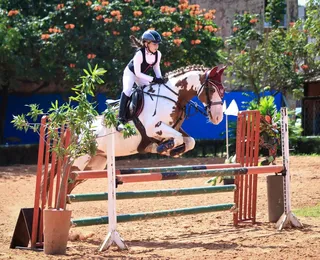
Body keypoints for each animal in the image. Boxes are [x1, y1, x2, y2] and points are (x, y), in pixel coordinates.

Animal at [65, 65, 225, 194]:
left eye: (223, 91)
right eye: (211, 89)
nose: (218, 118)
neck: (172, 97)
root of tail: (78, 128)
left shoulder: (174, 128)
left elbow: (190, 141)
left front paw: (171, 150)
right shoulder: (153, 128)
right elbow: (178, 138)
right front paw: (164, 148)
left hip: (95, 164)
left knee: (72, 182)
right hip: (81, 158)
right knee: (68, 177)